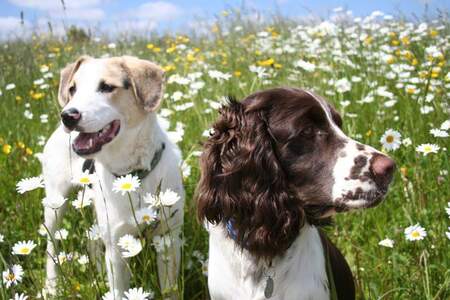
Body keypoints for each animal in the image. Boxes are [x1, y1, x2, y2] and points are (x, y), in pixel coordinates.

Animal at [40, 56, 184, 298]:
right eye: (73, 89)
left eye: (107, 87)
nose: (68, 116)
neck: (133, 175)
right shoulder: (116, 248)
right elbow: (118, 290)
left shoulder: (168, 238)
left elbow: (170, 289)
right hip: (55, 204)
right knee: (52, 245)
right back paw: (51, 285)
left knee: (91, 240)